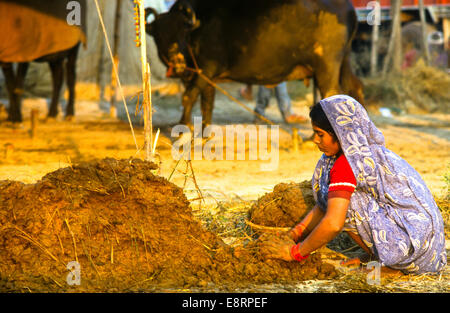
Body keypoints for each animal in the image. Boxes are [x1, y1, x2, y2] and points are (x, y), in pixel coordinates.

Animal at [148, 0, 366, 128]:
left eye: (181, 31)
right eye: (159, 34)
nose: (175, 60)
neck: (200, 25)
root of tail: (349, 9)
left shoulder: (206, 70)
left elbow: (188, 96)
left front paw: (183, 127)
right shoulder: (207, 77)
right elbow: (206, 104)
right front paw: (205, 134)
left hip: (326, 67)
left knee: (331, 94)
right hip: (344, 62)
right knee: (354, 88)